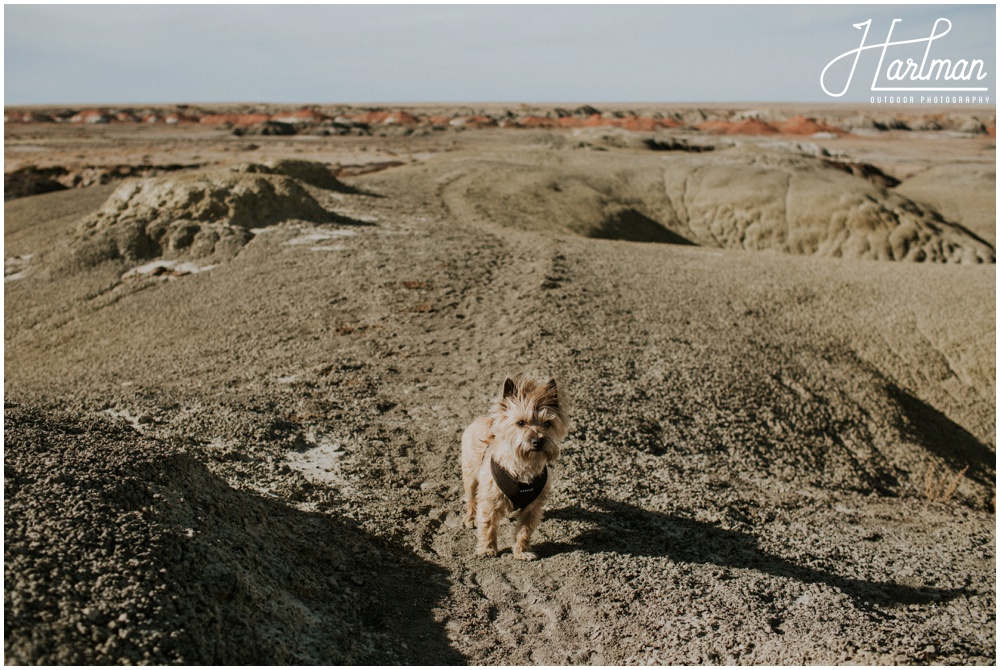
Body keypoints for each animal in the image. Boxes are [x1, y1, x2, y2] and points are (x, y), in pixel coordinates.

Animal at [462, 372, 572, 560]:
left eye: (547, 423)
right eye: (520, 423)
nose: (537, 441)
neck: (524, 466)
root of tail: (483, 419)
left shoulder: (533, 508)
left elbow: (525, 531)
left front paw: (522, 551)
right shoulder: (489, 501)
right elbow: (488, 525)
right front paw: (488, 549)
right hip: (470, 478)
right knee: (472, 500)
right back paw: (470, 519)